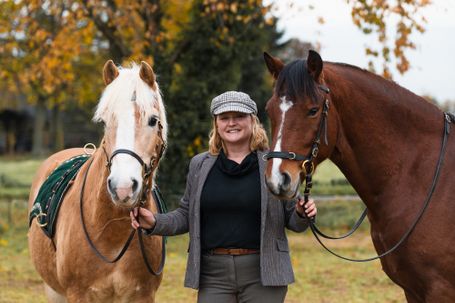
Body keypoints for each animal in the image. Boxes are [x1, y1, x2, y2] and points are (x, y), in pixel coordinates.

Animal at [27, 59, 168, 302]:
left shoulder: (142, 295)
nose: (122, 187)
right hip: (54, 291)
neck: (111, 229)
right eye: (104, 121)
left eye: (153, 120)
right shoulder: (78, 294)